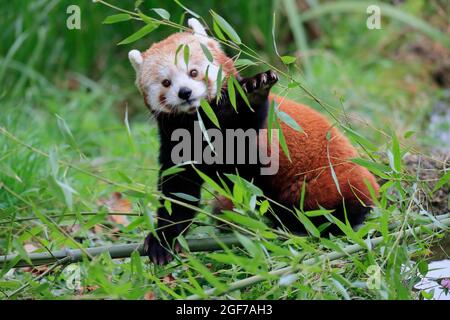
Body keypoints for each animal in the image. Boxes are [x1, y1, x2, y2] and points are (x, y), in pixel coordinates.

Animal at [127, 18, 380, 264]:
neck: (202, 124)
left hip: (326, 182)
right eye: (166, 82)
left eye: (194, 72)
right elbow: (178, 194)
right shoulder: (178, 144)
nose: (185, 92)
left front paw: (254, 91)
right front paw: (163, 240)